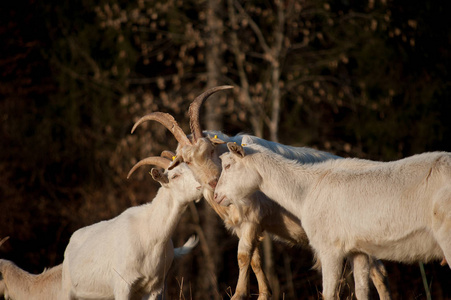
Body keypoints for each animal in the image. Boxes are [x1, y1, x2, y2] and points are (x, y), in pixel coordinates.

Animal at [61, 157, 202, 300]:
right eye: (175, 176)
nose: (201, 185)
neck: (150, 233)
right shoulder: (122, 285)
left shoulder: (155, 288)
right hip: (67, 290)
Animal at [131, 85, 392, 298]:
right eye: (187, 162)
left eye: (210, 150)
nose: (214, 183)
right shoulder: (245, 224)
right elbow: (255, 259)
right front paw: (264, 294)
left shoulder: (251, 217)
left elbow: (243, 256)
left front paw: (238, 295)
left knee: (377, 272)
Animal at [215, 143, 451, 300]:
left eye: (228, 165)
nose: (217, 196)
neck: (304, 192)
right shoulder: (358, 250)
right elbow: (362, 292)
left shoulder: (329, 247)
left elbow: (328, 294)